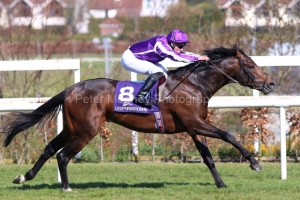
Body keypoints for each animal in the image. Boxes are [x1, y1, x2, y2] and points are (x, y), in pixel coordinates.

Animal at [2, 45, 274, 191]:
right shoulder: (197, 123)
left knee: (49, 149)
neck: (195, 84)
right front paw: (254, 162)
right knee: (63, 155)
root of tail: (70, 89)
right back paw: (67, 187)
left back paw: (24, 176)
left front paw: (221, 184)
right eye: (250, 65)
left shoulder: (193, 128)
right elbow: (229, 135)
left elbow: (208, 158)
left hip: (71, 128)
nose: (270, 83)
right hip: (85, 131)